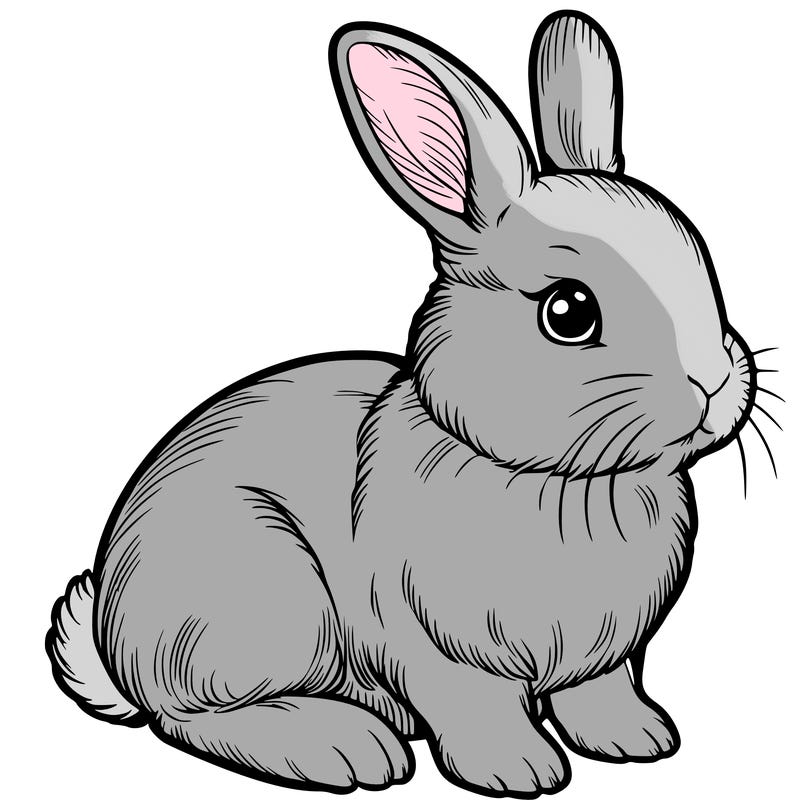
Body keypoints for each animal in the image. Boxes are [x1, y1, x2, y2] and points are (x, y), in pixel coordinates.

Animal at [46, 11, 758, 798]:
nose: (712, 384)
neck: (562, 482)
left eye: (699, 256)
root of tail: (114, 646)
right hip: (260, 595)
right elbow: (474, 704)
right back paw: (345, 746)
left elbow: (598, 691)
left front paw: (639, 741)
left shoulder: (603, 656)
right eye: (569, 312)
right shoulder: (433, 646)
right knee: (189, 717)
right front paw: (519, 771)